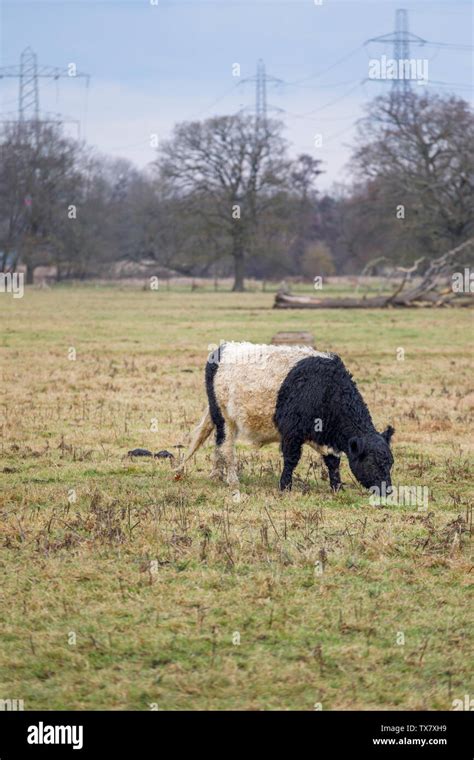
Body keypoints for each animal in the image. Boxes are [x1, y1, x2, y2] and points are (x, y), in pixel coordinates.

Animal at [173, 340, 392, 492]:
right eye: (374, 462)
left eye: (390, 463)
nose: (388, 490)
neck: (326, 388)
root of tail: (224, 347)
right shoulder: (292, 431)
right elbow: (291, 459)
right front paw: (285, 486)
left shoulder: (322, 435)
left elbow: (332, 461)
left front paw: (337, 487)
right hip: (224, 418)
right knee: (225, 447)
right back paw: (232, 480)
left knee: (217, 444)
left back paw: (216, 475)